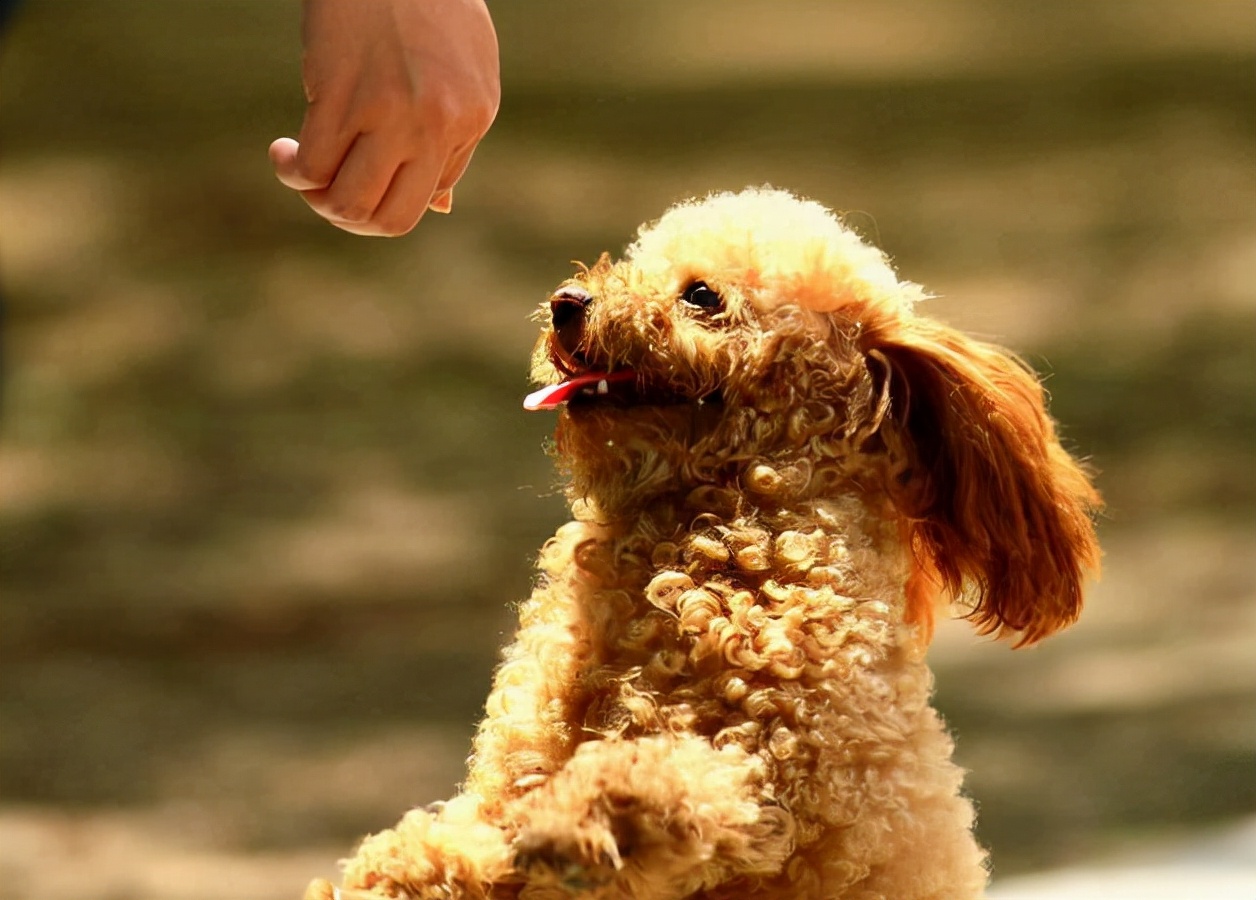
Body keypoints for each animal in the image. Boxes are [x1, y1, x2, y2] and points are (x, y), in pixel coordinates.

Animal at [303, 185, 1100, 893]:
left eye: (701, 296)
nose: (568, 303)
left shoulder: (774, 777)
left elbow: (665, 781)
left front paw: (581, 823)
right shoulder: (510, 776)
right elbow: (451, 843)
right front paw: (388, 872)